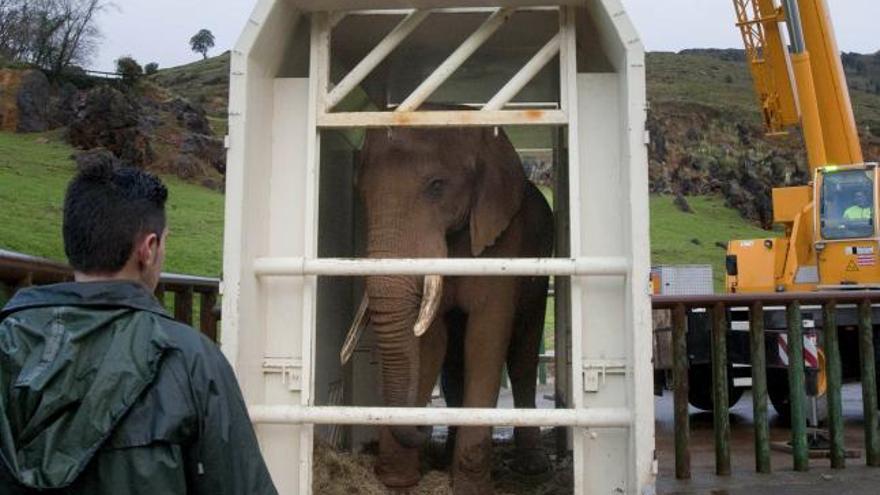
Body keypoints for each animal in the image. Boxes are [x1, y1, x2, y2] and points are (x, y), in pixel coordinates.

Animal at [342, 126, 552, 494]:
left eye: (436, 186)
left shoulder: (503, 240)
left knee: (523, 357)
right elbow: (430, 342)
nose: (424, 429)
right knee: (454, 366)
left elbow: (485, 338)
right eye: (361, 193)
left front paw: (471, 487)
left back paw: (531, 466)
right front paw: (399, 481)